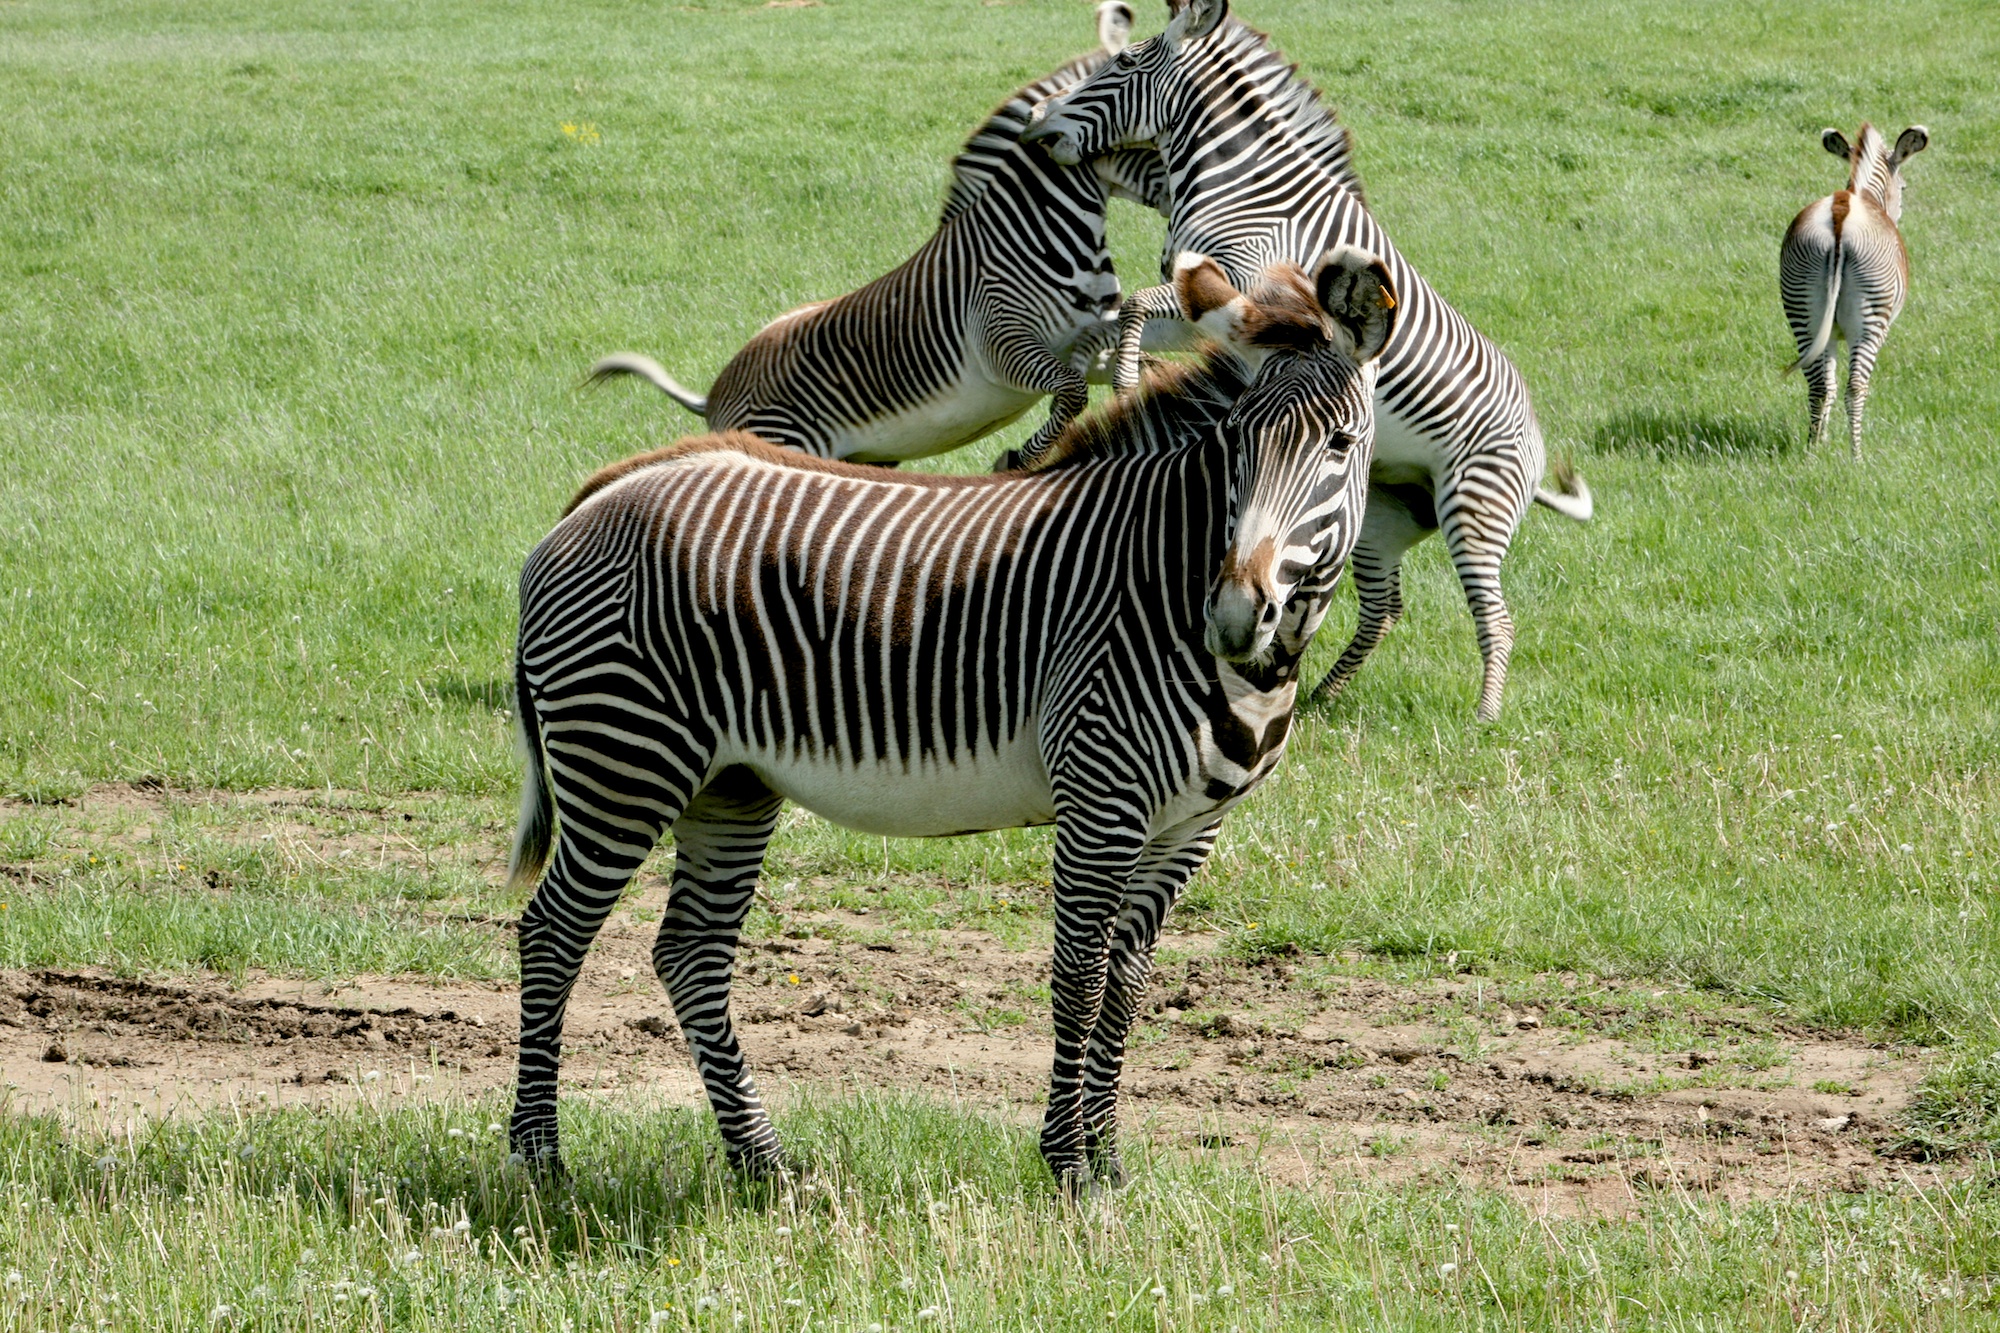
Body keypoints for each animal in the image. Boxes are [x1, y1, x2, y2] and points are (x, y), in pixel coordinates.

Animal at [506, 249, 1398, 1192]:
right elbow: (1079, 978)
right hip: (624, 759)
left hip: (729, 781)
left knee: (691, 953)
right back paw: (541, 1157)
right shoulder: (1101, 803)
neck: (1159, 581)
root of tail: (601, 493)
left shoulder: (1188, 827)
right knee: (553, 933)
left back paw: (764, 1161)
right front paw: (1068, 1166)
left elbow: (1127, 985)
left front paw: (1109, 1162)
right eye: (1233, 446)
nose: (1232, 616)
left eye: (1339, 444)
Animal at [586, 2, 1170, 466]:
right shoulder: (1004, 342)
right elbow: (1070, 395)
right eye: (1153, 137)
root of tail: (714, 395)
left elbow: (1139, 364)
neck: (1037, 231)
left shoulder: (1089, 340)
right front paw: (1016, 457)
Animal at [1023, 0, 1592, 722]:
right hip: (1381, 516)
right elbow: (1122, 320)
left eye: (1122, 63)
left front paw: (1123, 381)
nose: (1037, 126)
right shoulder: (1217, 311)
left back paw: (1485, 719)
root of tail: (1538, 445)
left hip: (1474, 508)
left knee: (1495, 615)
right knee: (1384, 606)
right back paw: (1323, 695)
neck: (1243, 186)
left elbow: (1132, 310)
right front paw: (1054, 425)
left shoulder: (1251, 294)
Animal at [1780, 123, 1929, 460]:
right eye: (1904, 188)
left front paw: (1821, 441)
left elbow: (1829, 385)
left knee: (1819, 385)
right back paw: (1857, 456)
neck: (1862, 195)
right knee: (1856, 387)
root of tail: (1841, 212)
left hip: (1802, 310)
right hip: (1870, 318)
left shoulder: (1830, 334)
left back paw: (1811, 452)